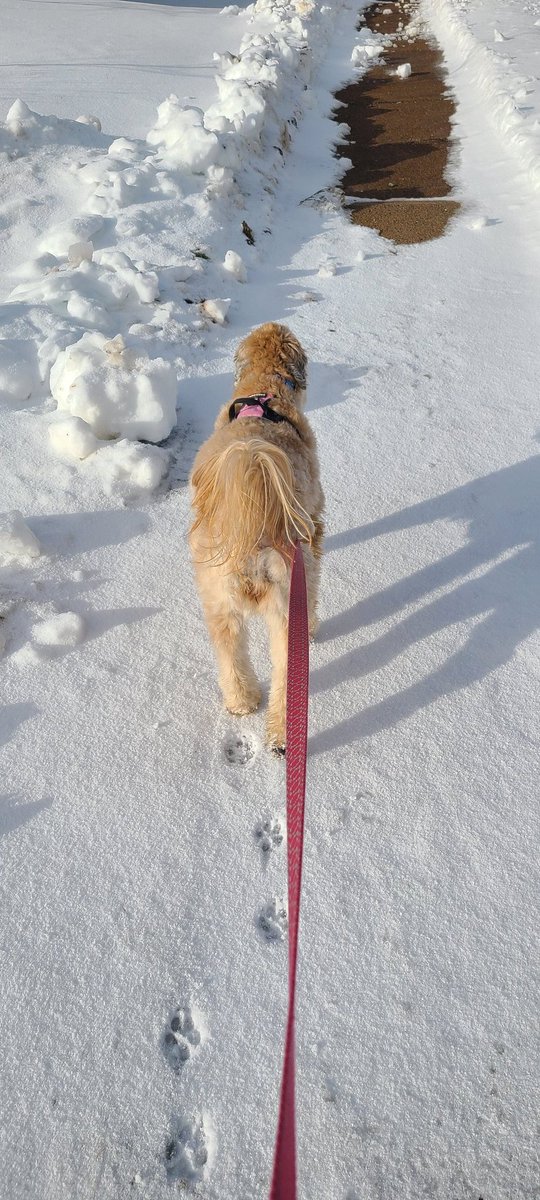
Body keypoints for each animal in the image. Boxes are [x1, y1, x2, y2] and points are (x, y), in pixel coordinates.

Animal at [189, 321, 324, 748]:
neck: (264, 388)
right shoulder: (315, 520)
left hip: (218, 598)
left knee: (230, 653)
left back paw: (242, 702)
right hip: (288, 595)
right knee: (286, 674)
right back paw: (282, 733)